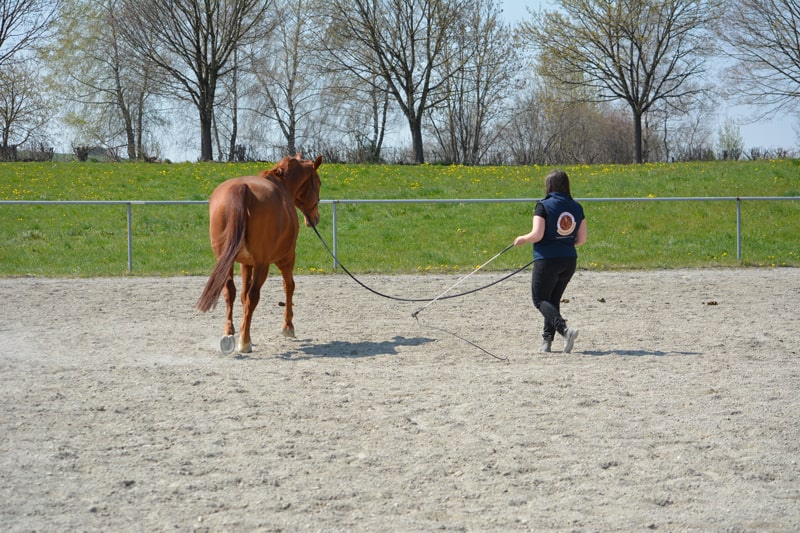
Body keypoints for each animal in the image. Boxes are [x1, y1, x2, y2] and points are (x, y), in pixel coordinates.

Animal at [197, 154, 322, 354]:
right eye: (318, 182)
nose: (315, 218)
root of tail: (242, 188)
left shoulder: (245, 263)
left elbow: (241, 295)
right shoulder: (286, 258)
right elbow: (289, 286)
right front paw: (288, 326)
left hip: (226, 261)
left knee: (230, 291)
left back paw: (230, 335)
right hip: (264, 264)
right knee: (254, 296)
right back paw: (245, 341)